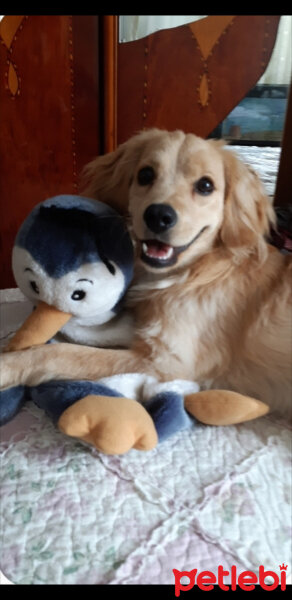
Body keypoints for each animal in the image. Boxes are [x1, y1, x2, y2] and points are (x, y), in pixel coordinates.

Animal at [0, 129, 292, 420]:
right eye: (145, 175)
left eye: (206, 186)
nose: (158, 215)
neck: (194, 273)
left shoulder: (167, 362)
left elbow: (65, 353)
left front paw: (9, 364)